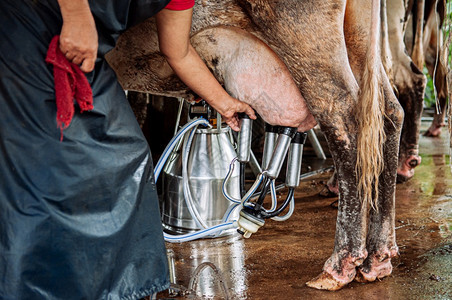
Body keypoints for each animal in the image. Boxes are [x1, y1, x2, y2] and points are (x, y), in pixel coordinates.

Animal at [108, 0, 402, 290]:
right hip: (360, 38)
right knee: (388, 114)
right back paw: (378, 258)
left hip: (305, 41)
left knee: (344, 124)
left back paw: (341, 264)